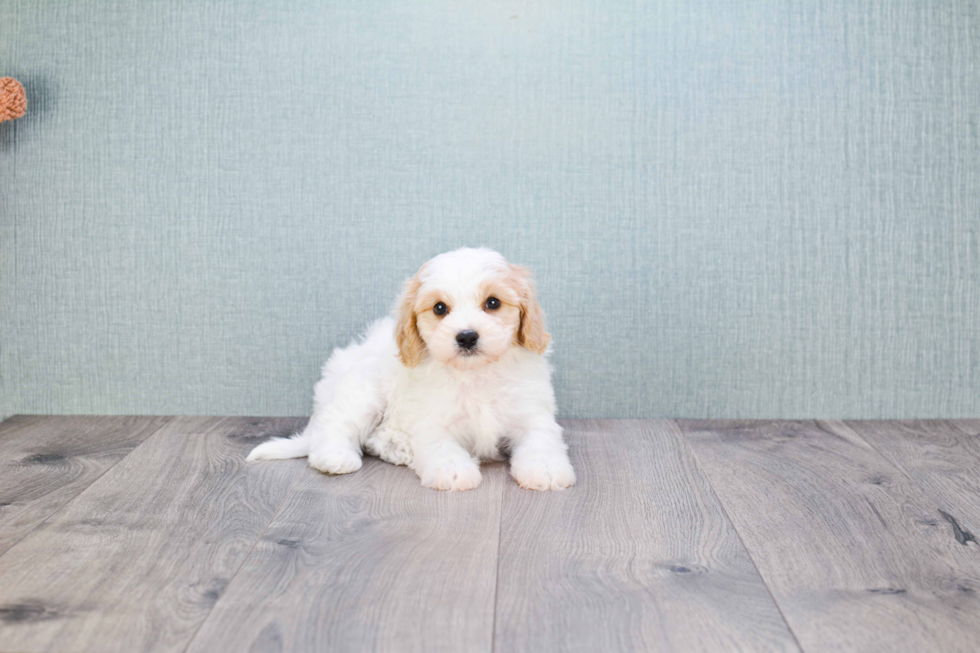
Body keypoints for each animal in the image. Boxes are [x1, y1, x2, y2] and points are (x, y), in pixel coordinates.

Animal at [247, 247, 576, 492]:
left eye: (493, 303)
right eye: (440, 308)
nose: (467, 336)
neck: (474, 373)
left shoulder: (531, 410)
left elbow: (541, 438)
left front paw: (545, 468)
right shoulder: (431, 418)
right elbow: (440, 443)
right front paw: (453, 471)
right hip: (363, 392)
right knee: (337, 426)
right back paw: (336, 457)